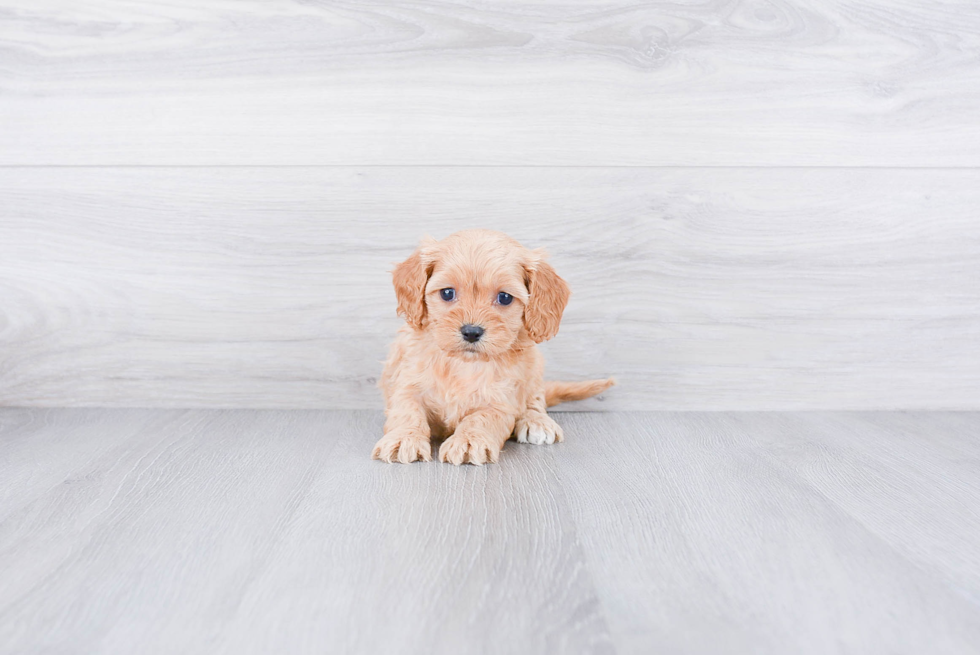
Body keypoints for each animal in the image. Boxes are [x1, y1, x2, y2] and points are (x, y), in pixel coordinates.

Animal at [374, 231, 612, 466]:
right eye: (447, 293)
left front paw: (468, 441)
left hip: (534, 366)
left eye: (504, 297)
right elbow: (407, 411)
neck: (465, 364)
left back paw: (536, 421)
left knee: (535, 399)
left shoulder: (501, 401)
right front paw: (403, 438)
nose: (471, 332)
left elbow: (481, 418)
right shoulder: (407, 385)